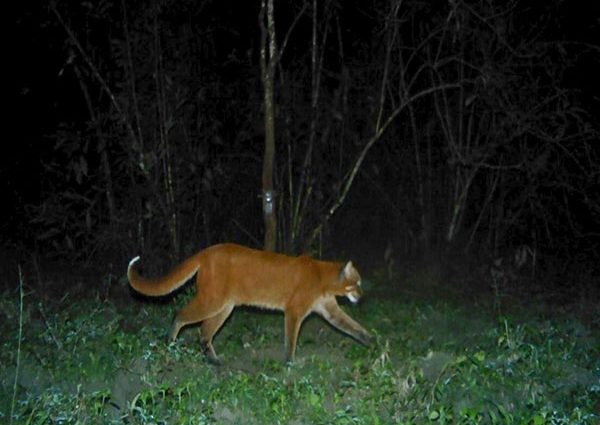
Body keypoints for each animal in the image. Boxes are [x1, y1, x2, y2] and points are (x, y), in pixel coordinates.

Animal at [126, 243, 370, 362]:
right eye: (357, 282)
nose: (361, 295)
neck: (322, 276)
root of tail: (206, 251)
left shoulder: (329, 310)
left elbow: (352, 326)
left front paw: (370, 341)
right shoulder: (294, 311)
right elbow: (291, 339)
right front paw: (290, 362)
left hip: (224, 307)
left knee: (204, 331)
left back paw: (214, 361)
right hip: (211, 301)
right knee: (180, 315)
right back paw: (171, 343)